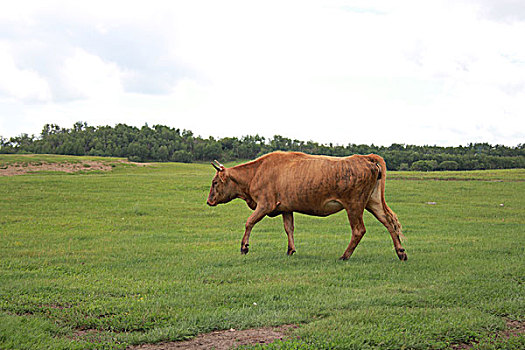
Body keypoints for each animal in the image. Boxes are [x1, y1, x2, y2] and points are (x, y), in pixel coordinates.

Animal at [205, 152, 406, 262]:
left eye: (215, 182)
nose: (209, 201)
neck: (257, 172)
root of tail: (365, 158)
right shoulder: (286, 208)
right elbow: (289, 228)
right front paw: (290, 250)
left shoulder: (265, 204)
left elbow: (249, 222)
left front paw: (244, 247)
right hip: (373, 202)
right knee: (390, 223)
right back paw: (401, 253)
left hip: (354, 206)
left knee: (359, 230)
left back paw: (344, 256)